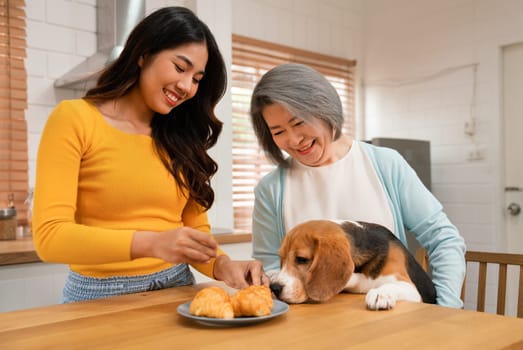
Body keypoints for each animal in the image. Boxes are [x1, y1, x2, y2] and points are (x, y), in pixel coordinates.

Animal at [270, 220, 438, 310]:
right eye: (281, 259)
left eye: (301, 259)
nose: (274, 288)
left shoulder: (411, 288)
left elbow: (389, 285)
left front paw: (380, 293)